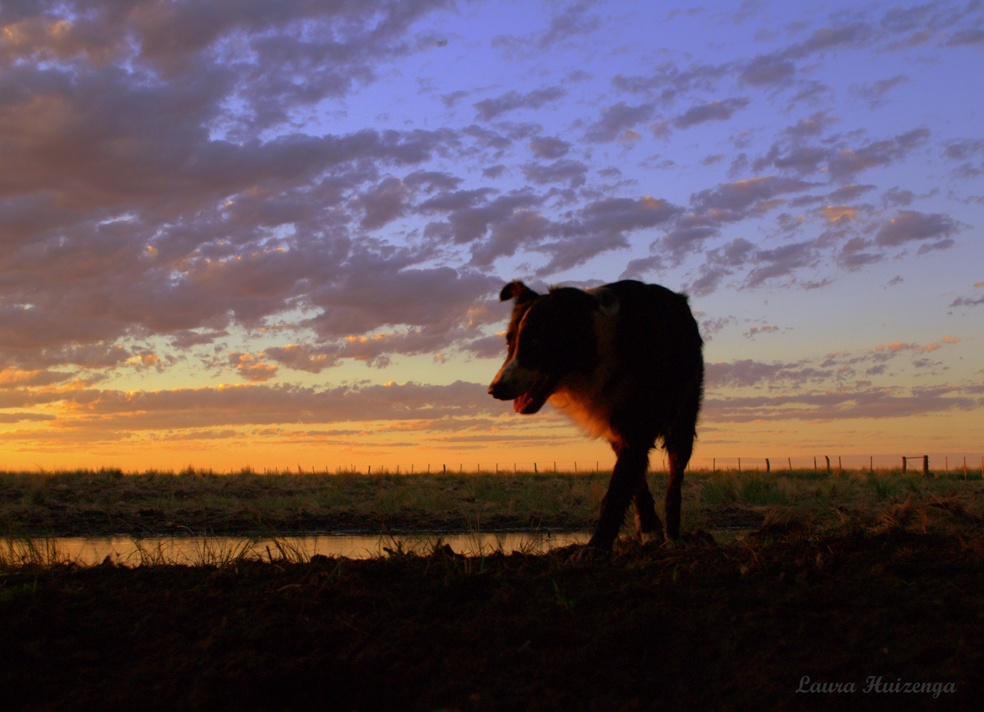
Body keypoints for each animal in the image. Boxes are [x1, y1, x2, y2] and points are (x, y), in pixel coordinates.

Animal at [488, 280, 704, 552]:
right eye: (509, 343)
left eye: (536, 340)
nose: (494, 390)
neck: (595, 355)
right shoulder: (618, 431)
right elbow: (632, 481)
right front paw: (645, 529)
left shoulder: (636, 429)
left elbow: (616, 493)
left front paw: (595, 549)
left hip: (682, 419)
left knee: (674, 481)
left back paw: (673, 536)